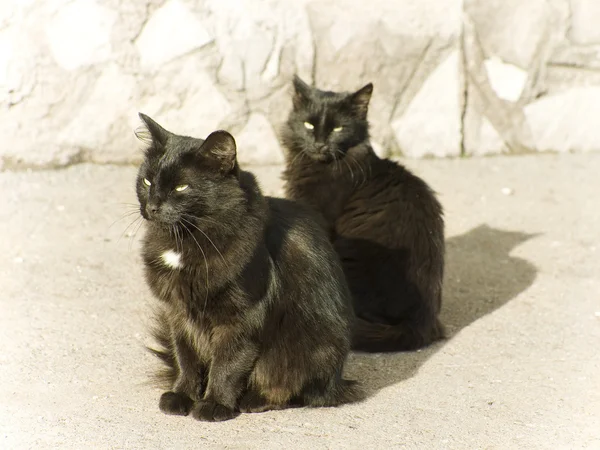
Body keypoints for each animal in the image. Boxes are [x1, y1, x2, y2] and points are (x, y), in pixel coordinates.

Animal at [136, 113, 360, 422]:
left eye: (182, 187)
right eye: (147, 181)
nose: (153, 206)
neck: (184, 242)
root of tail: (338, 381)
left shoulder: (240, 319)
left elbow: (227, 365)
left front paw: (214, 405)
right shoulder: (179, 314)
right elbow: (186, 358)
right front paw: (182, 396)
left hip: (310, 350)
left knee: (298, 391)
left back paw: (253, 400)